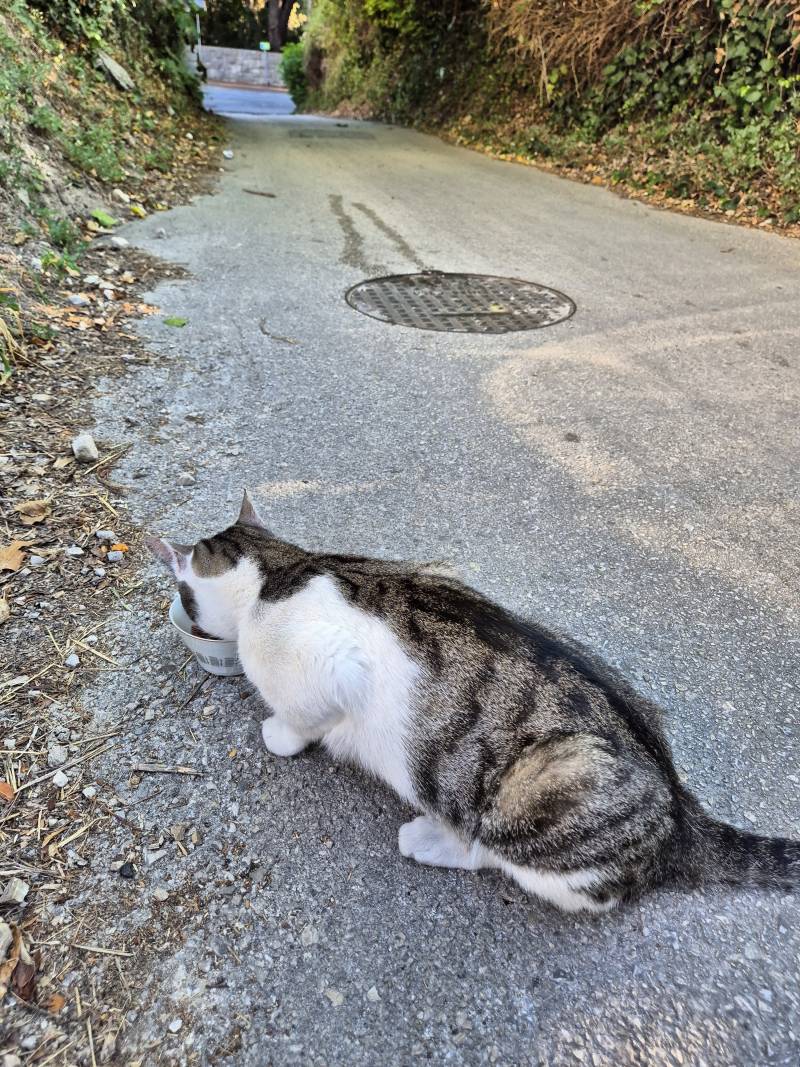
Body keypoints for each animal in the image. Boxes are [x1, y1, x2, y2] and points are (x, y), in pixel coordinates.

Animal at [147, 495, 797, 913]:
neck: (277, 569)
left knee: (538, 872)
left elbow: (302, 719)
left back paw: (433, 840)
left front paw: (279, 733)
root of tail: (682, 811)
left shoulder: (331, 666)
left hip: (532, 795)